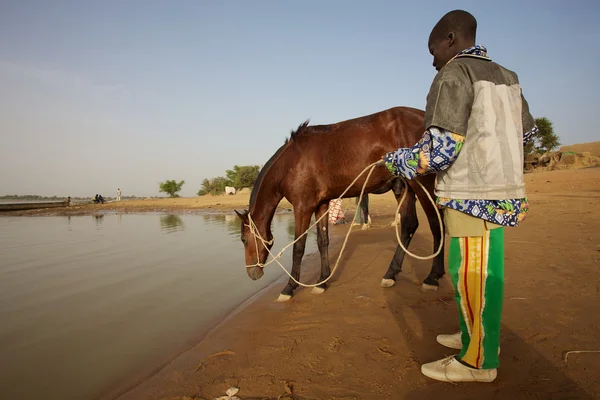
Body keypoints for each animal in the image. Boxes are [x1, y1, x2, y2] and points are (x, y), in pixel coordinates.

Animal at [237, 106, 442, 300]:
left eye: (244, 239)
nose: (252, 273)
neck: (291, 163)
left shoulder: (302, 207)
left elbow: (298, 247)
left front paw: (289, 288)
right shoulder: (321, 204)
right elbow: (322, 242)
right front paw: (322, 282)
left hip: (423, 184)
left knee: (436, 223)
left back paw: (432, 278)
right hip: (404, 187)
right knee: (409, 225)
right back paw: (390, 274)